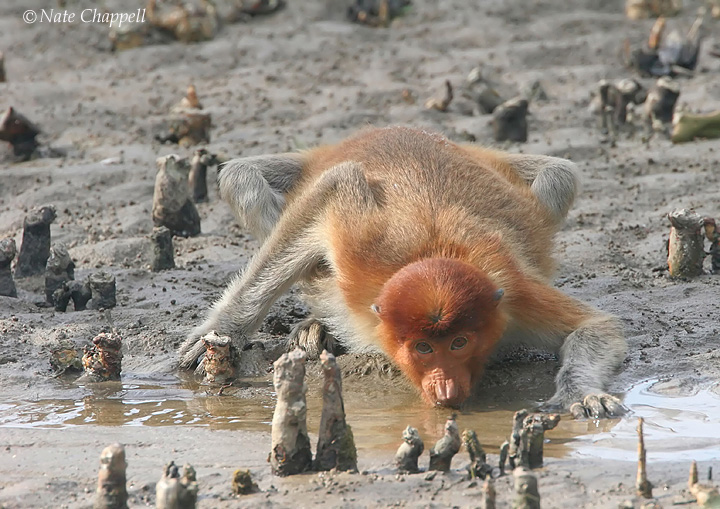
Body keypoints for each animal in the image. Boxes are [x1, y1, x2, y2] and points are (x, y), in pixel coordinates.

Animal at [178, 126, 627, 418]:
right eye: (423, 348)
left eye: (460, 343)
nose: (445, 386)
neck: (434, 256)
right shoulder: (363, 247)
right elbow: (335, 188)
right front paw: (216, 337)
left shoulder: (512, 294)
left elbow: (596, 327)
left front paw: (581, 395)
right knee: (242, 177)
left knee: (559, 175)